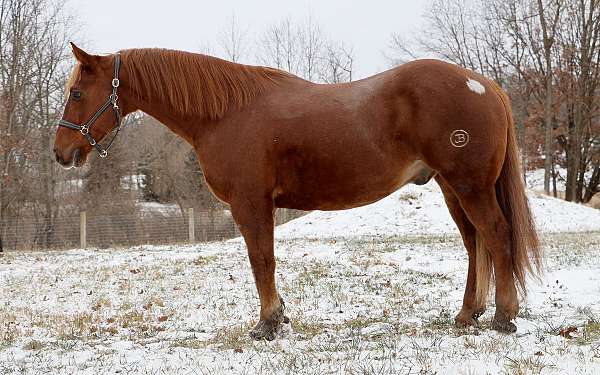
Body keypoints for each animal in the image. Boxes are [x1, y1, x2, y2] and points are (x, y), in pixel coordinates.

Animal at [54, 44, 540, 340]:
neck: (226, 114)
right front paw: (278, 316)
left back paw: (503, 316)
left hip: (470, 186)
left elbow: (261, 260)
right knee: (475, 243)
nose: (61, 153)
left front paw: (268, 324)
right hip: (451, 188)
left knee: (496, 237)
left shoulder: (251, 203)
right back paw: (467, 315)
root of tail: (484, 85)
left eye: (76, 92)